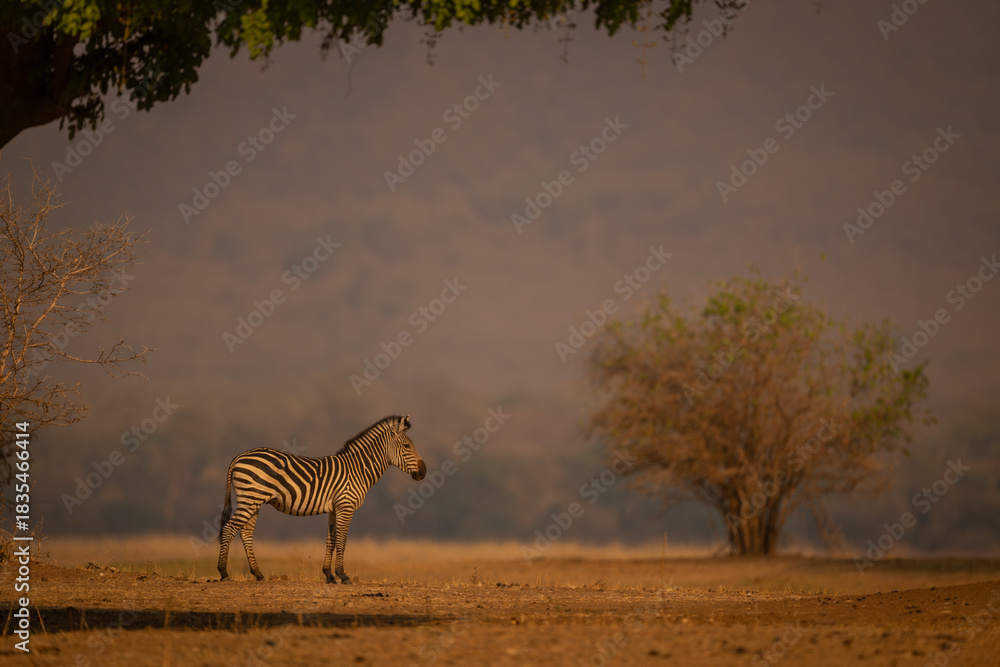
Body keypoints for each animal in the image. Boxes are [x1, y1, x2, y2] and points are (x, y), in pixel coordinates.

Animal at [217, 414, 426, 583]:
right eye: (407, 446)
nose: (424, 472)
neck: (357, 470)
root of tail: (239, 456)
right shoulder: (345, 506)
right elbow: (342, 539)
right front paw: (343, 575)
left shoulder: (334, 508)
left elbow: (331, 539)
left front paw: (329, 575)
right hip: (250, 499)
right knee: (229, 529)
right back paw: (224, 573)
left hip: (253, 501)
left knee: (245, 533)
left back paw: (258, 574)